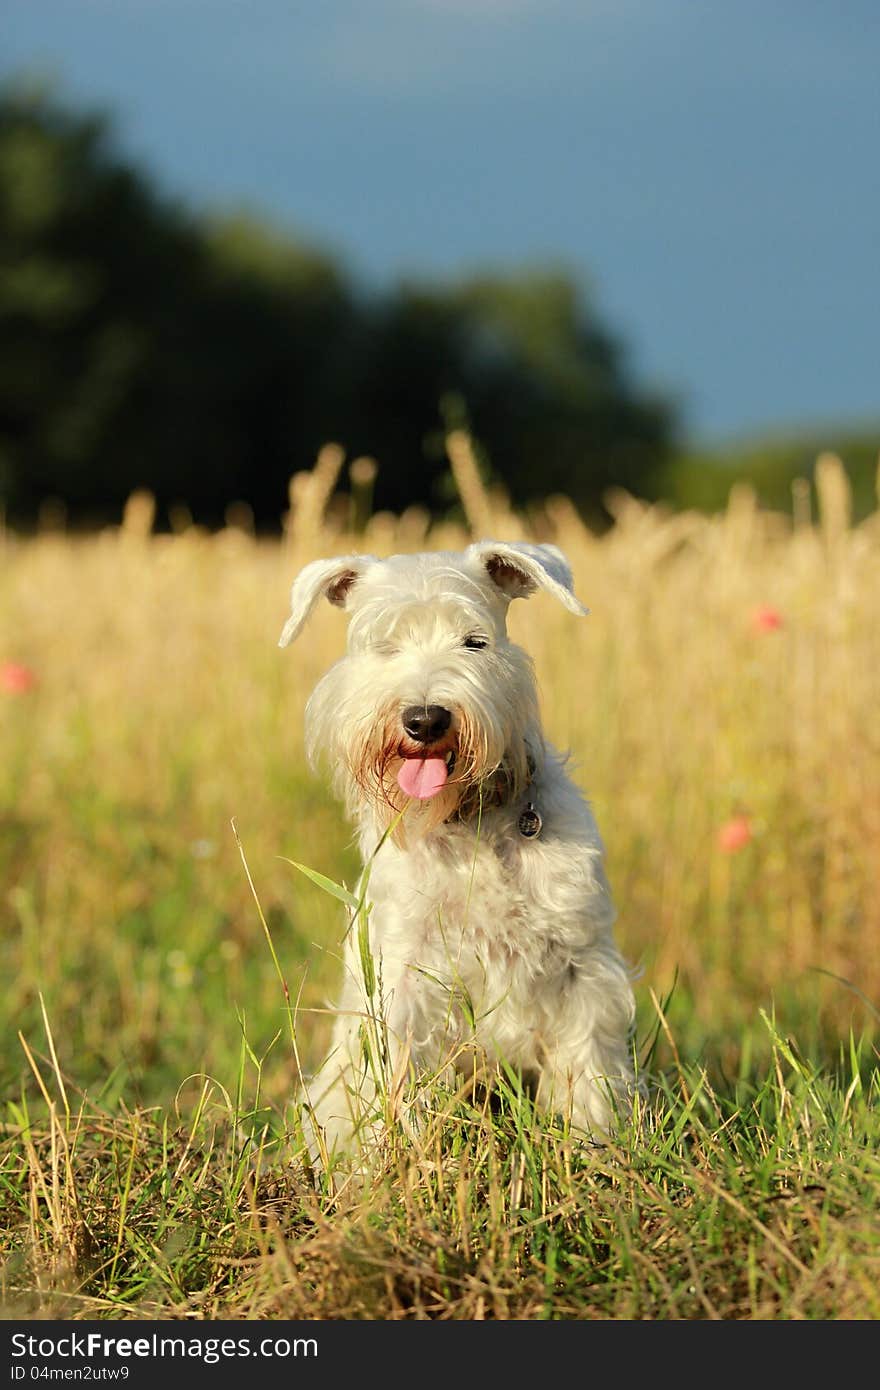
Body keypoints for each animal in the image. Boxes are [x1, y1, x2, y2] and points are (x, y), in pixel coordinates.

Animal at [278, 536, 633, 1156]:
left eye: (475, 641)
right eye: (384, 644)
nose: (425, 719)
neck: (471, 824)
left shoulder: (583, 966)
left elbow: (587, 1070)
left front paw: (593, 1147)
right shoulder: (403, 976)